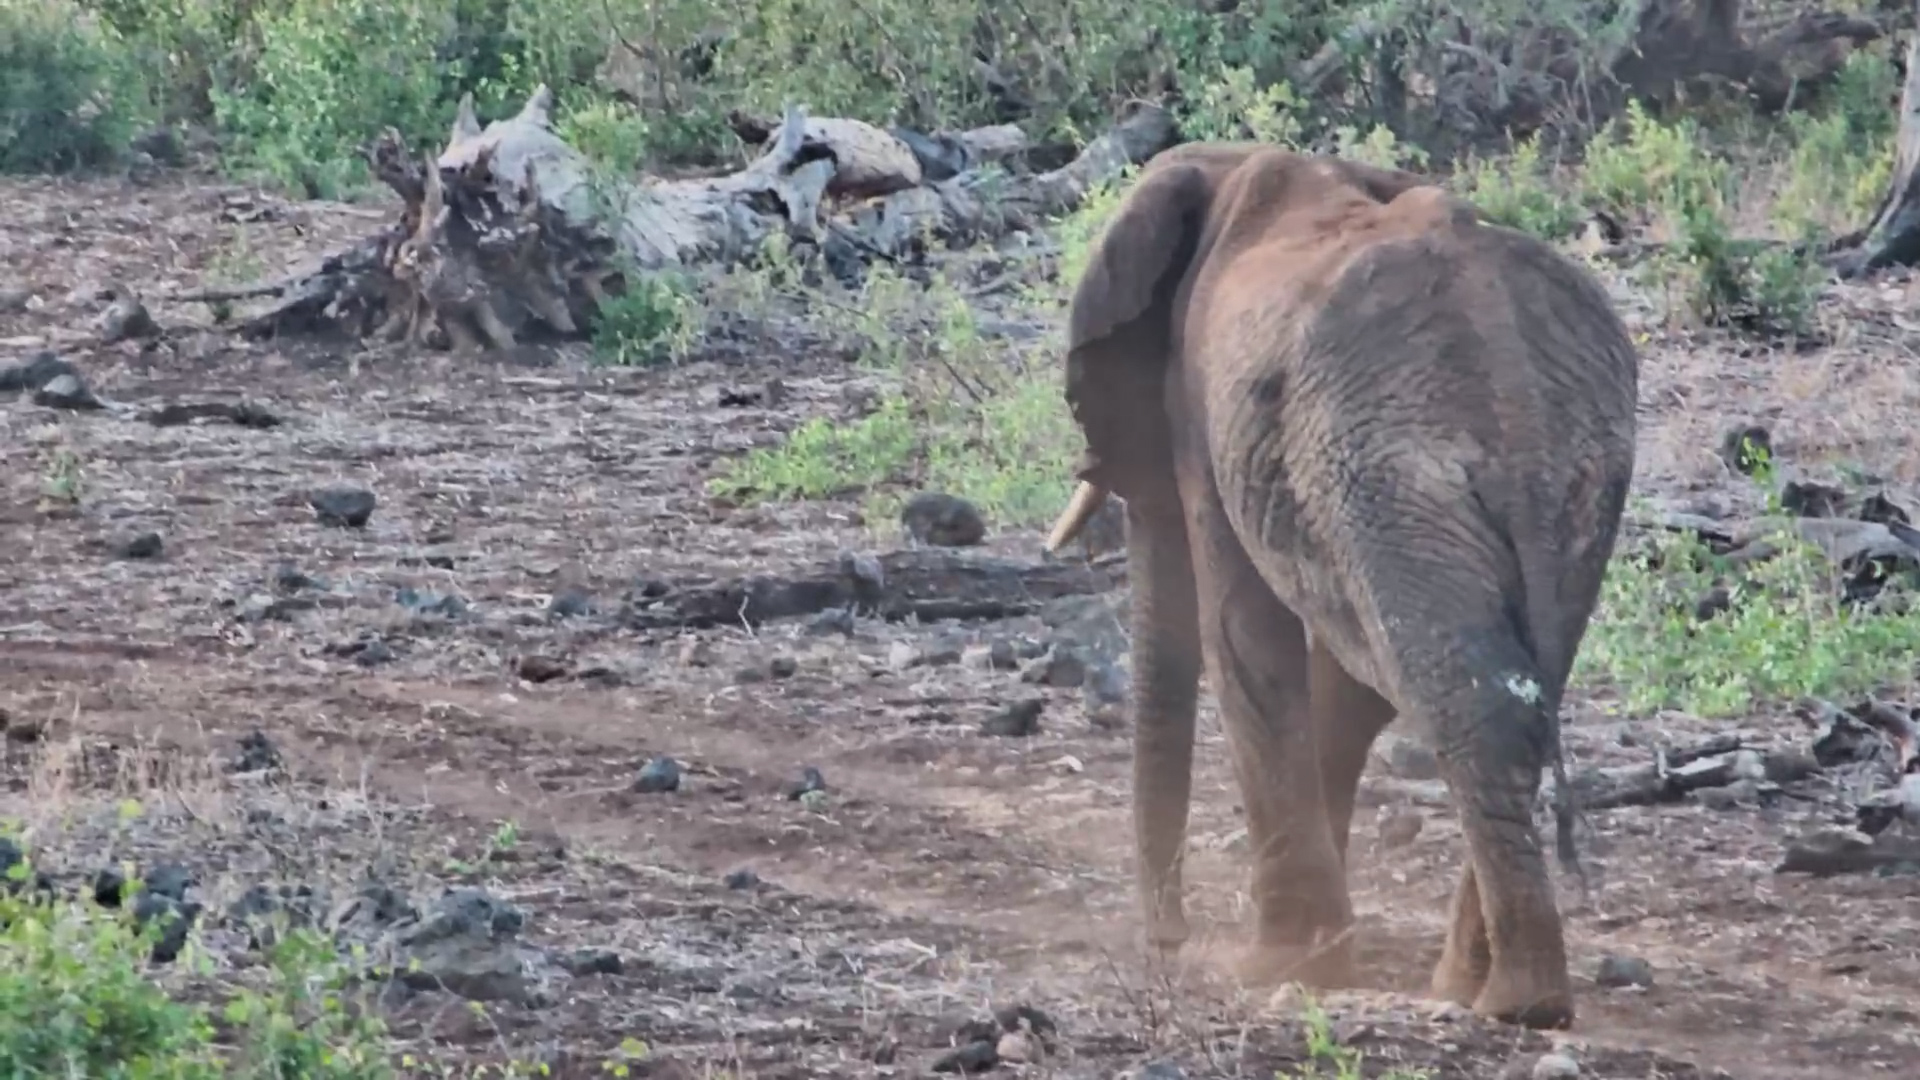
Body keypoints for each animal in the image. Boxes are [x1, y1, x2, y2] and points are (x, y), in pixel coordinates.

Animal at [1043, 143, 1638, 1029]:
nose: (1169, 945)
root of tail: (1516, 379)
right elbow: (1345, 679)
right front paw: (1316, 955)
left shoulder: (1203, 409)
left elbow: (1245, 629)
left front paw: (1279, 965)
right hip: (1566, 477)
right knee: (1512, 687)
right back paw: (1481, 992)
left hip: (1389, 460)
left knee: (1464, 696)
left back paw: (1511, 1001)